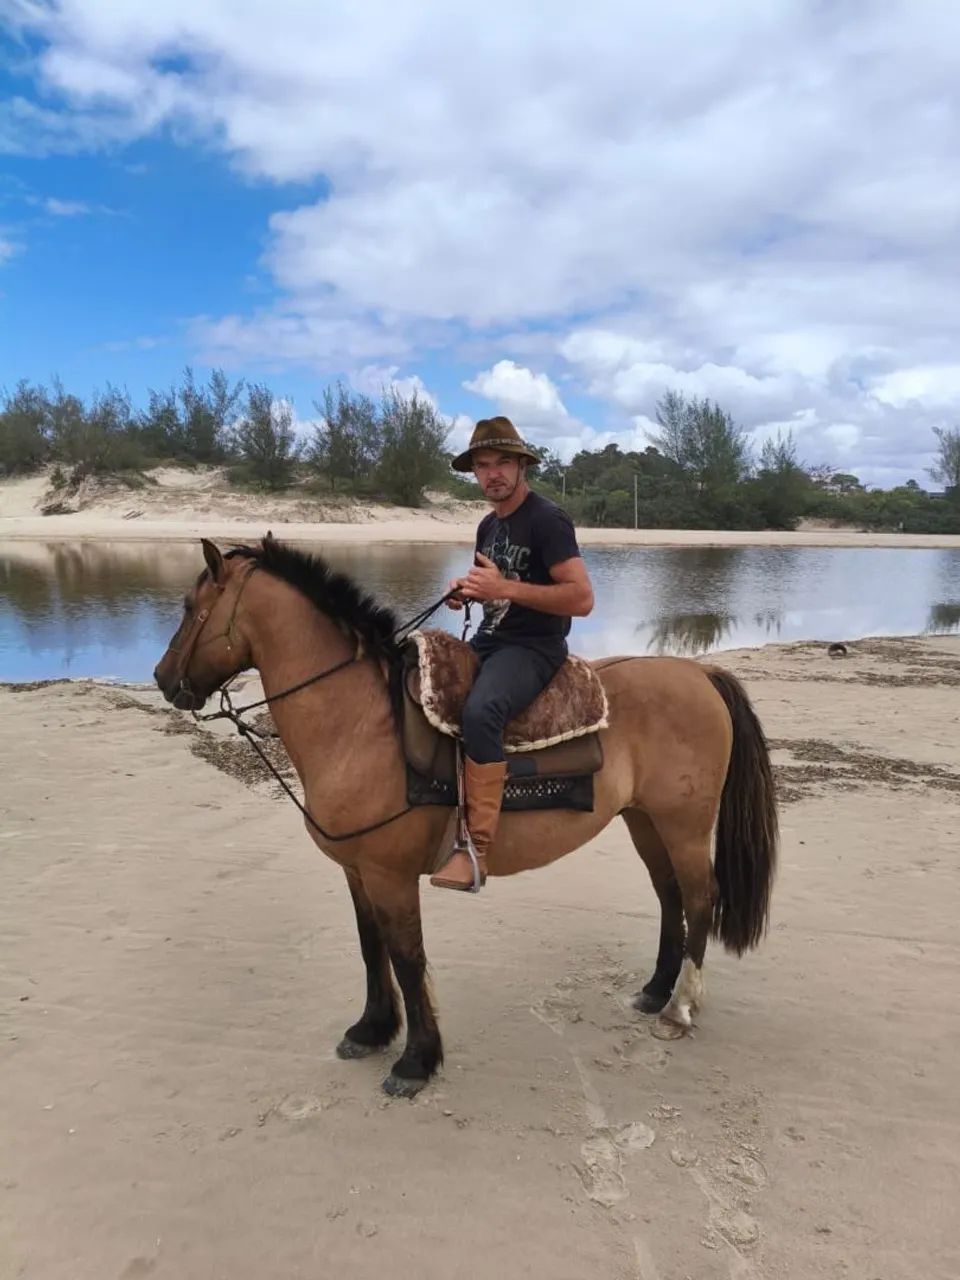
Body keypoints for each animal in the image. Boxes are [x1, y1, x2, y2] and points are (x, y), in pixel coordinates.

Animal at [153, 535, 778, 1098]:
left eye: (188, 607)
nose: (161, 678)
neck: (360, 722)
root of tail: (699, 676)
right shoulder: (357, 871)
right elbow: (370, 947)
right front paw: (372, 1029)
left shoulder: (390, 875)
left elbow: (407, 958)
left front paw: (416, 1061)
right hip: (645, 820)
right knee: (670, 897)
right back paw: (655, 991)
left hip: (685, 825)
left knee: (700, 898)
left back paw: (680, 1007)